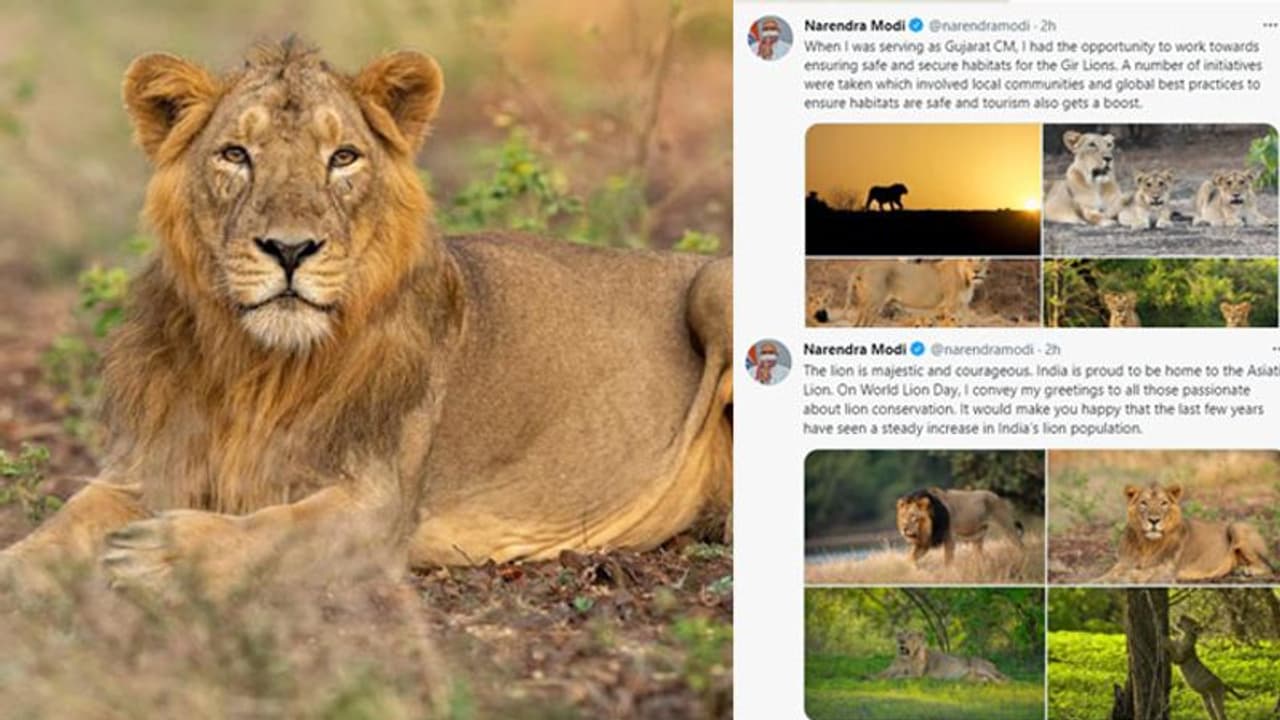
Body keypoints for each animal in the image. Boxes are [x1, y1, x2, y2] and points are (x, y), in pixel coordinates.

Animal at [0, 40, 733, 598]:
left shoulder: (377, 509)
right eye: (236, 154)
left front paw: (162, 553)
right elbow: (60, 527)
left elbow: (273, 529)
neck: (254, 367)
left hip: (714, 286)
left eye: (343, 157)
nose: (289, 249)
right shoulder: (146, 466)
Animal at [874, 630, 1009, 683]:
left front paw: (890, 679)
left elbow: (899, 677)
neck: (905, 660)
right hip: (969, 677)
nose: (901, 641)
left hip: (979, 666)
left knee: (1003, 679)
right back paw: (985, 683)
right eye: (900, 634)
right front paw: (871, 678)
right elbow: (879, 674)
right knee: (984, 679)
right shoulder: (890, 669)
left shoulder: (917, 675)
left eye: (910, 635)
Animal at [896, 488, 1025, 567]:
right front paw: (912, 570)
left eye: (913, 516)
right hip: (978, 537)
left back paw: (1023, 560)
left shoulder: (949, 538)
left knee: (1020, 545)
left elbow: (948, 560)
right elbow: (910, 558)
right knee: (979, 556)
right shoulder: (926, 542)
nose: (904, 529)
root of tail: (997, 496)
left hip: (1007, 527)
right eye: (903, 516)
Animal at [1096, 483, 1277, 583]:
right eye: (1143, 503)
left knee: (1269, 567)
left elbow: (1134, 575)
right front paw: (1100, 579)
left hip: (1237, 527)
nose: (1154, 520)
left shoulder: (1164, 572)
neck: (1145, 544)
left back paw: (1246, 571)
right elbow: (1110, 574)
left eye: (1163, 503)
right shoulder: (1123, 563)